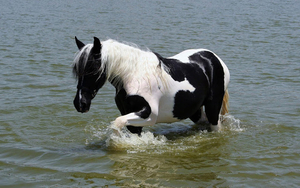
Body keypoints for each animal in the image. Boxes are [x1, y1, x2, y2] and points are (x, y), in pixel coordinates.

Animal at [72, 36, 230, 135]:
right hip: (194, 111)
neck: (133, 75)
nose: (80, 103)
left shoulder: (149, 115)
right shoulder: (130, 116)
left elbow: (117, 123)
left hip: (213, 109)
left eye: (93, 68)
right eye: (77, 71)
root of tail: (214, 58)